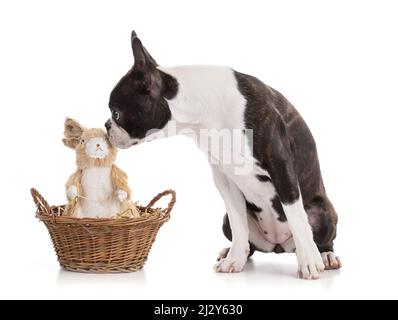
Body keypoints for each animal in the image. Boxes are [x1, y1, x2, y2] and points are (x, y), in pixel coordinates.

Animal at [105, 30, 342, 280]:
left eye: (116, 113)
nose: (106, 125)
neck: (205, 112)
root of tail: (278, 246)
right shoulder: (224, 179)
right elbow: (239, 224)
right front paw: (234, 260)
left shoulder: (281, 167)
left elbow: (297, 219)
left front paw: (309, 263)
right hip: (225, 221)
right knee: (247, 240)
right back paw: (232, 252)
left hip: (324, 214)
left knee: (318, 235)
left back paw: (324, 256)